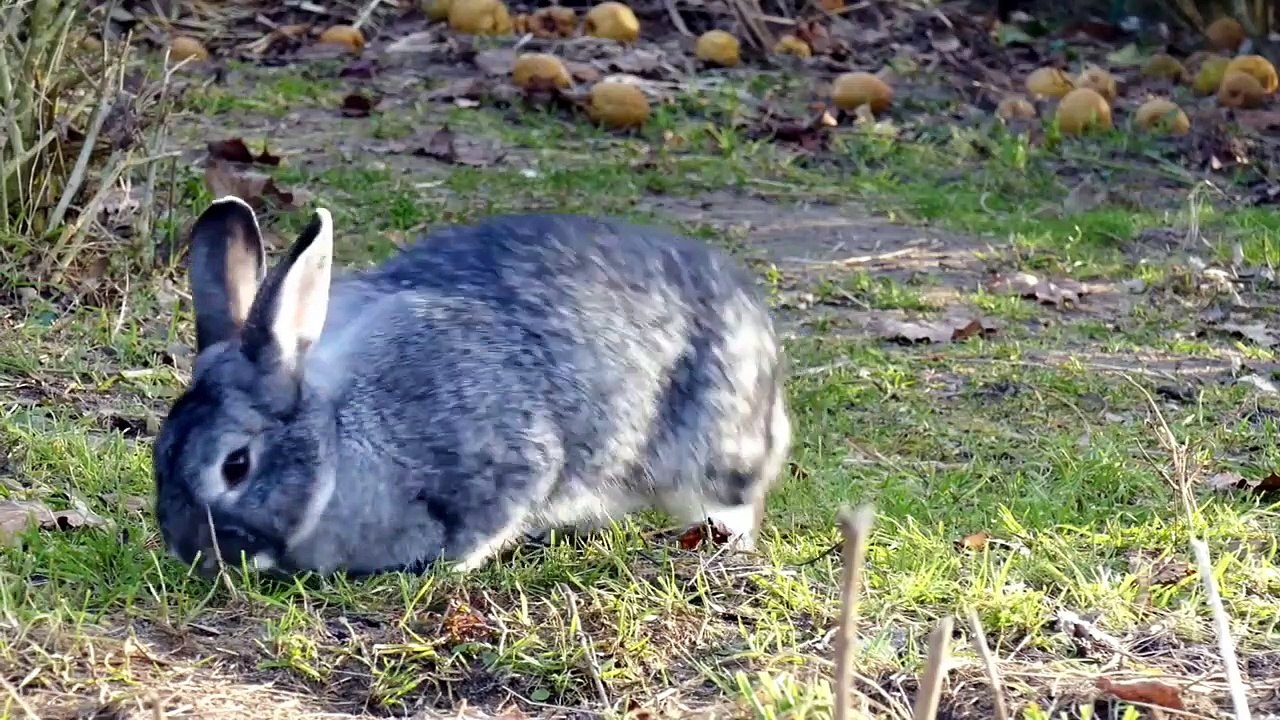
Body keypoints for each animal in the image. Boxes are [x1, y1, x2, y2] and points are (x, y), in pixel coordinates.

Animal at [151, 195, 793, 578]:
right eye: (159, 457)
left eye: (236, 466)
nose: (194, 553)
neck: (337, 441)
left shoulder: (507, 462)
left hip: (711, 452)